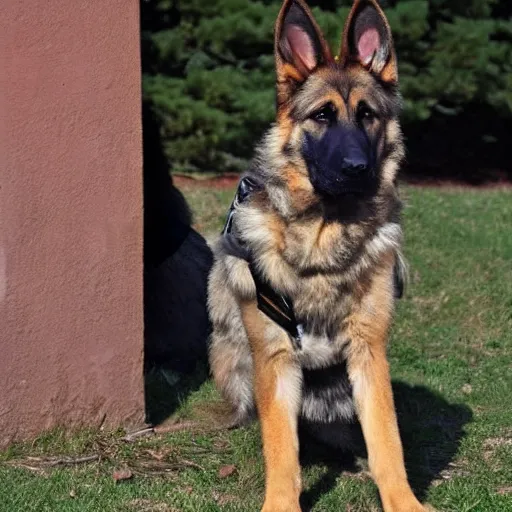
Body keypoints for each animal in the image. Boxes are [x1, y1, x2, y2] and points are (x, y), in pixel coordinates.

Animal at [208, 1, 428, 512]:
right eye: (323, 115)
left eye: (368, 115)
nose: (357, 170)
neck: (324, 237)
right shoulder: (275, 360)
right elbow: (281, 449)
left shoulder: (369, 352)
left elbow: (387, 440)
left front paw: (403, 501)